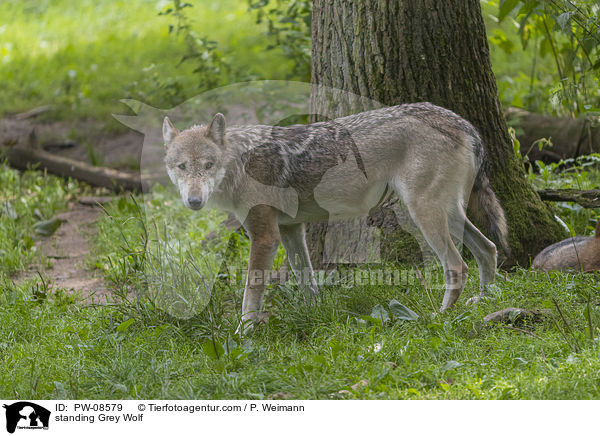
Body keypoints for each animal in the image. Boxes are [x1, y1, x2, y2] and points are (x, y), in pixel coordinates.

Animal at [162, 102, 508, 328]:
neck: (238, 164)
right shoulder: (291, 230)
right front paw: (314, 317)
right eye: (182, 167)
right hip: (449, 215)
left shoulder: (264, 237)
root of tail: (463, 122)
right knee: (488, 249)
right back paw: (486, 301)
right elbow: (307, 281)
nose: (194, 200)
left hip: (423, 214)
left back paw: (442, 316)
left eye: (208, 165)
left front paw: (243, 334)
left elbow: (251, 294)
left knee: (458, 265)